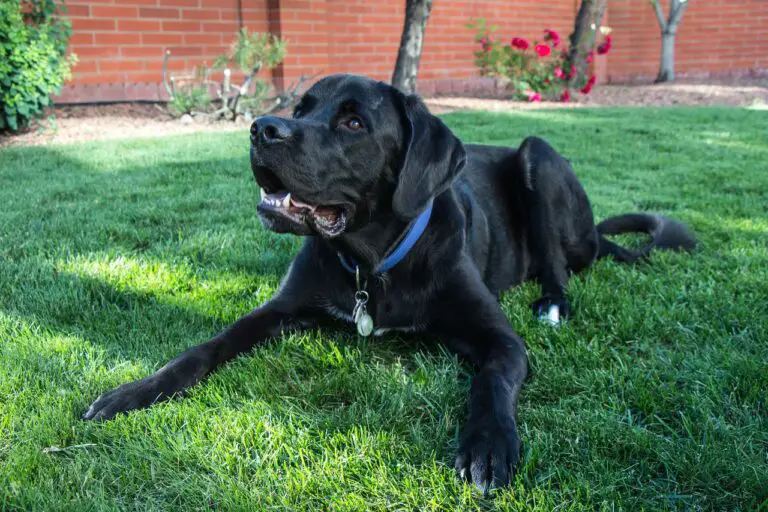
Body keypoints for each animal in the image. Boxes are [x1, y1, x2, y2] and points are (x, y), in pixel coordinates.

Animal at [85, 73, 696, 492]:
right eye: (302, 107)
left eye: (354, 122)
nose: (260, 128)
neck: (373, 263)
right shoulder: (280, 308)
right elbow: (206, 345)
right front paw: (134, 391)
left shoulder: (500, 339)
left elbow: (491, 381)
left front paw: (488, 445)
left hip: (539, 158)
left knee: (559, 265)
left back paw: (552, 303)